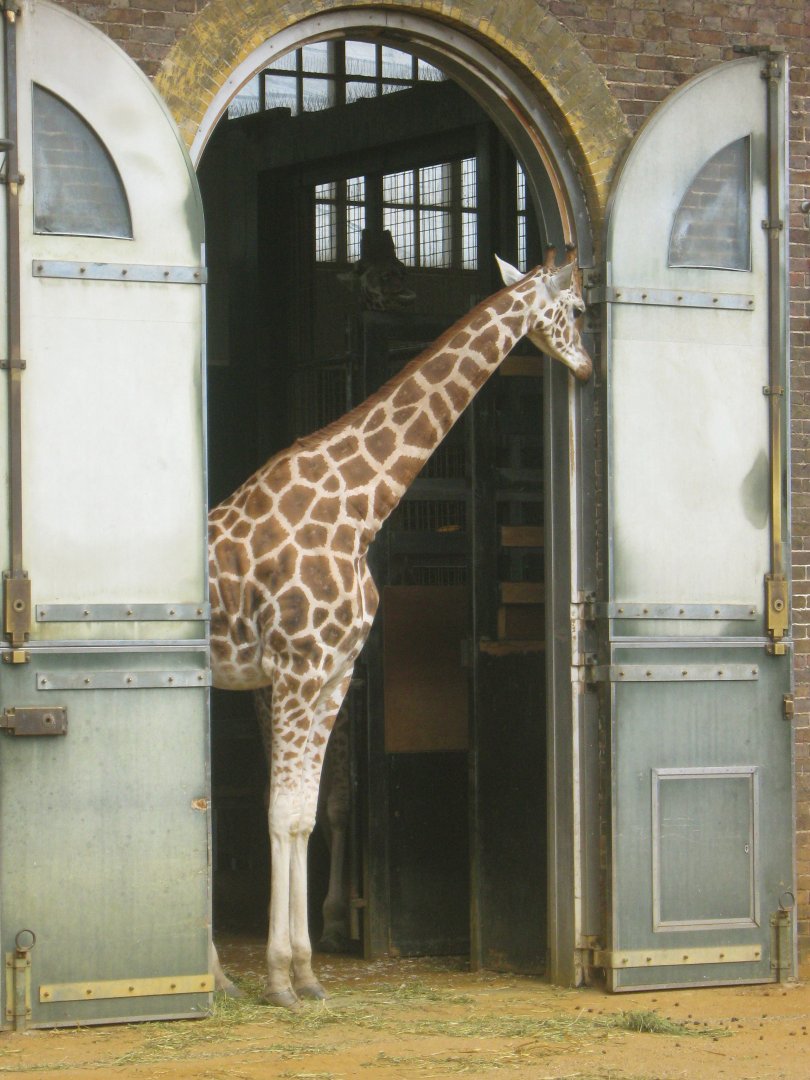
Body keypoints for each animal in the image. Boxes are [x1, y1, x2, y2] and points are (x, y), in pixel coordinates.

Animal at [207, 247, 592, 1007]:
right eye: (580, 308)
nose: (590, 368)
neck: (361, 506)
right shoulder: (295, 671)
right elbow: (281, 813)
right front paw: (279, 977)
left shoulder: (331, 674)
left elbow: (306, 813)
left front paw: (306, 973)